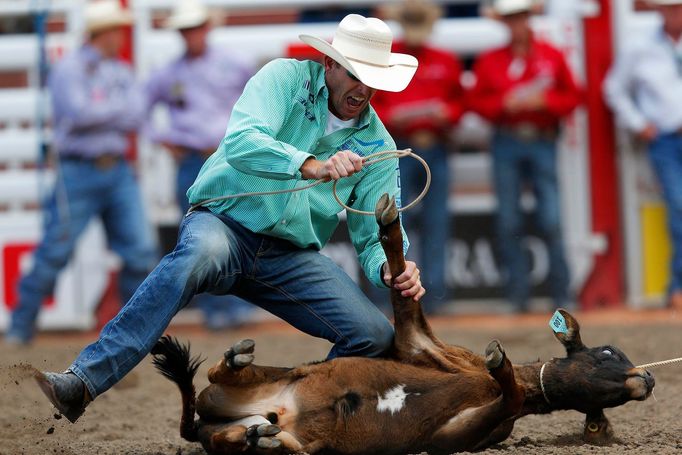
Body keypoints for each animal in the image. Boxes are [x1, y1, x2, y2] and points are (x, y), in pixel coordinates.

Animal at [150, 194, 652, 454]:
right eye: (608, 351)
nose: (645, 378)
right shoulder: (420, 344)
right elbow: (404, 298)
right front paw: (388, 220)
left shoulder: (457, 435)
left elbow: (505, 398)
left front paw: (501, 364)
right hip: (262, 380)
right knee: (220, 374)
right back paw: (240, 368)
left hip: (265, 431)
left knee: (250, 436)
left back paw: (260, 437)